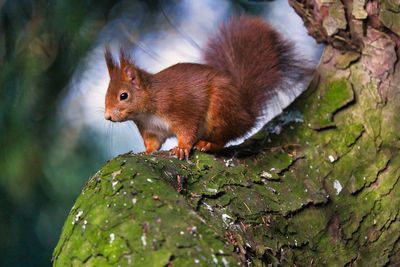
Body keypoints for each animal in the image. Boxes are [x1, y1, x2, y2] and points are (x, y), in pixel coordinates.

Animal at [104, 15, 310, 160]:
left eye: (123, 96)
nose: (107, 117)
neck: (149, 108)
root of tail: (246, 114)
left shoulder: (181, 109)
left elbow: (187, 129)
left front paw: (181, 148)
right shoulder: (151, 129)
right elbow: (153, 143)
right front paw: (146, 152)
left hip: (220, 112)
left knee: (224, 139)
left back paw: (207, 144)